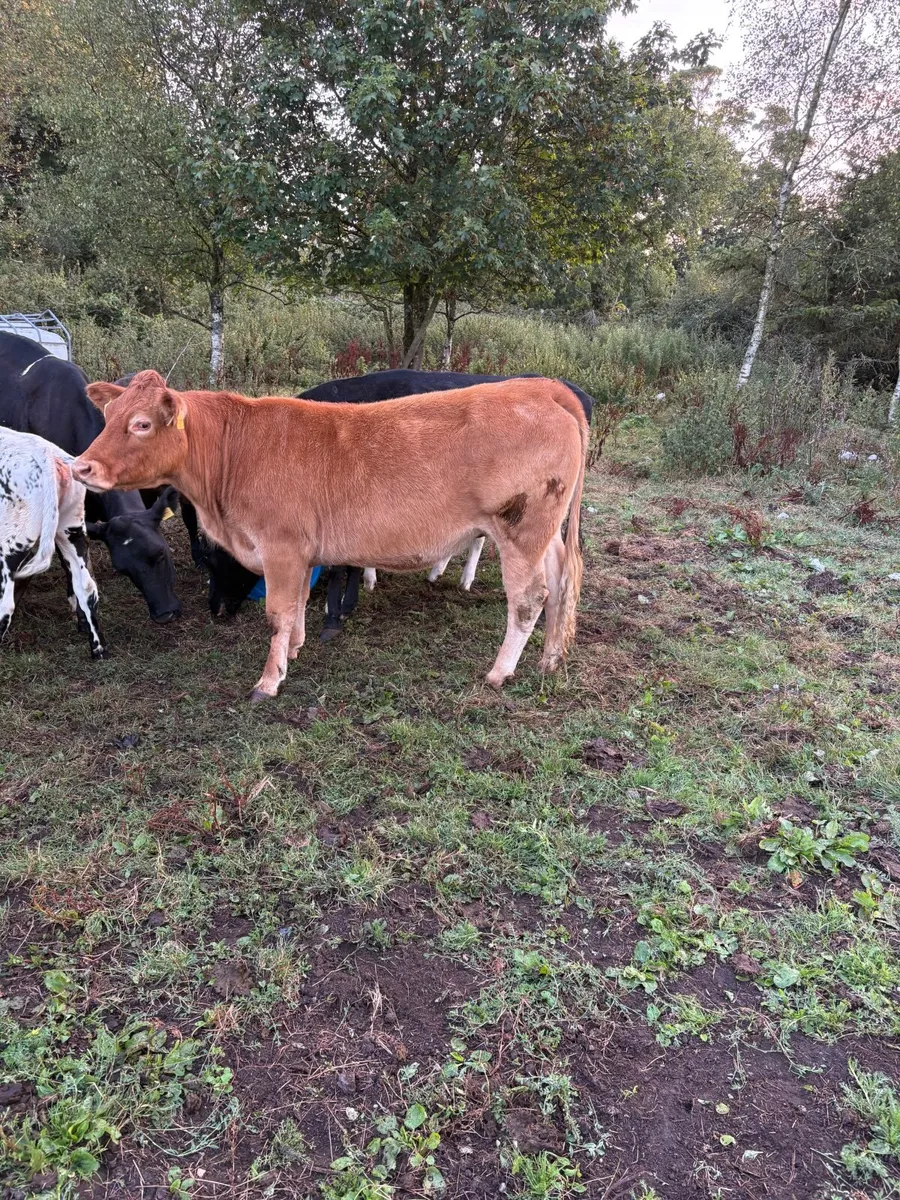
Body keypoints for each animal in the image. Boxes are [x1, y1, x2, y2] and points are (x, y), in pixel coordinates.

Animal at [1, 428, 107, 658]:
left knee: (5, 604)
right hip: (71, 529)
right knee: (86, 586)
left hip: (10, 545)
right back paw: (99, 649)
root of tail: (47, 455)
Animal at [73, 371, 587, 701]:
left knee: (529, 597)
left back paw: (500, 672)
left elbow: (278, 613)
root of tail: (540, 387)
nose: (82, 466)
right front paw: (295, 650)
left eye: (141, 424)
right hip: (545, 534)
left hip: (520, 529)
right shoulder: (300, 552)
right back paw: (550, 657)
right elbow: (298, 604)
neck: (235, 450)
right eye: (108, 416)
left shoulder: (280, 547)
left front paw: (269, 681)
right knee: (561, 580)